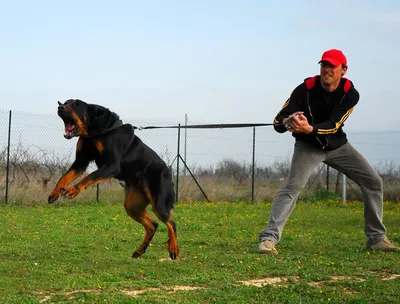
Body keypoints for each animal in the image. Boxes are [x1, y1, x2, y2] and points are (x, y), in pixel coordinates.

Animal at [47, 98, 179, 260]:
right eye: (65, 102)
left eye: (77, 104)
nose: (60, 107)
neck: (94, 133)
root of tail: (169, 171)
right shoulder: (81, 162)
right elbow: (64, 177)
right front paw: (54, 193)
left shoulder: (111, 165)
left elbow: (90, 176)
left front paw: (73, 190)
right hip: (132, 205)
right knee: (153, 225)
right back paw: (140, 250)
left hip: (159, 202)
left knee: (171, 223)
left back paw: (173, 248)